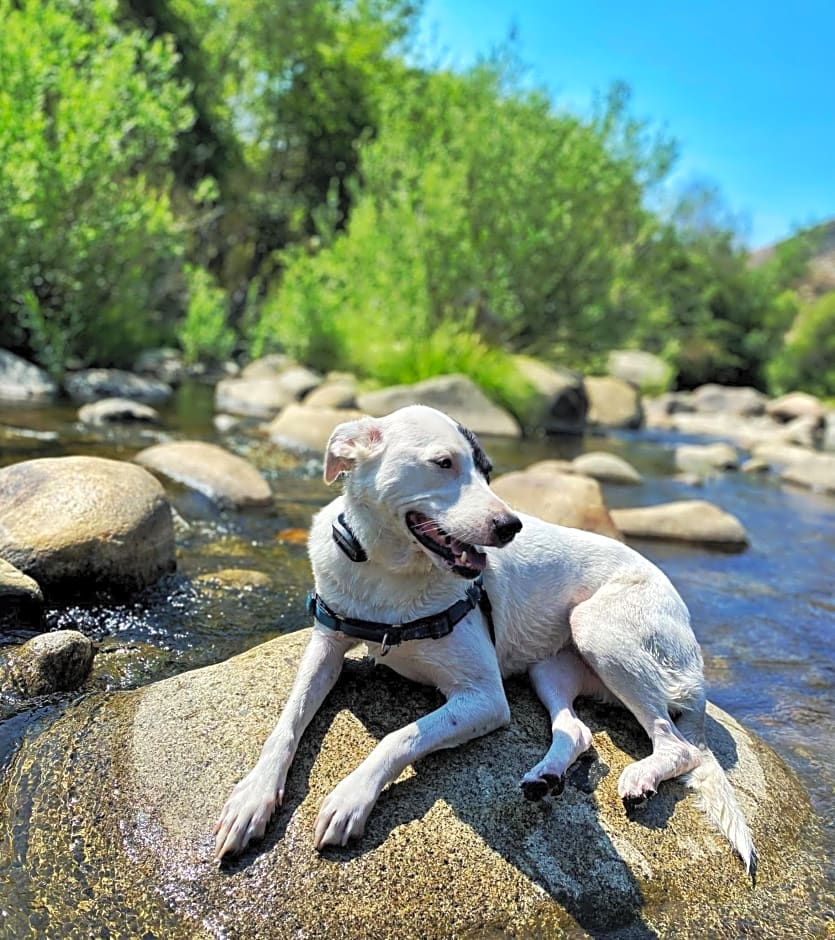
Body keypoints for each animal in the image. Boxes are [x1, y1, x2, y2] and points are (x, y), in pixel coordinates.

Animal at [211, 408, 756, 876]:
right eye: (443, 464)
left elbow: (399, 736)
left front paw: (351, 797)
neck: (391, 576)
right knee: (577, 731)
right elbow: (287, 722)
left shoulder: (484, 698)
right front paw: (252, 798)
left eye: (488, 472)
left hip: (597, 626)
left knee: (679, 747)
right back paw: (546, 775)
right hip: (549, 667)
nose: (511, 525)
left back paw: (642, 775)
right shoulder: (326, 648)